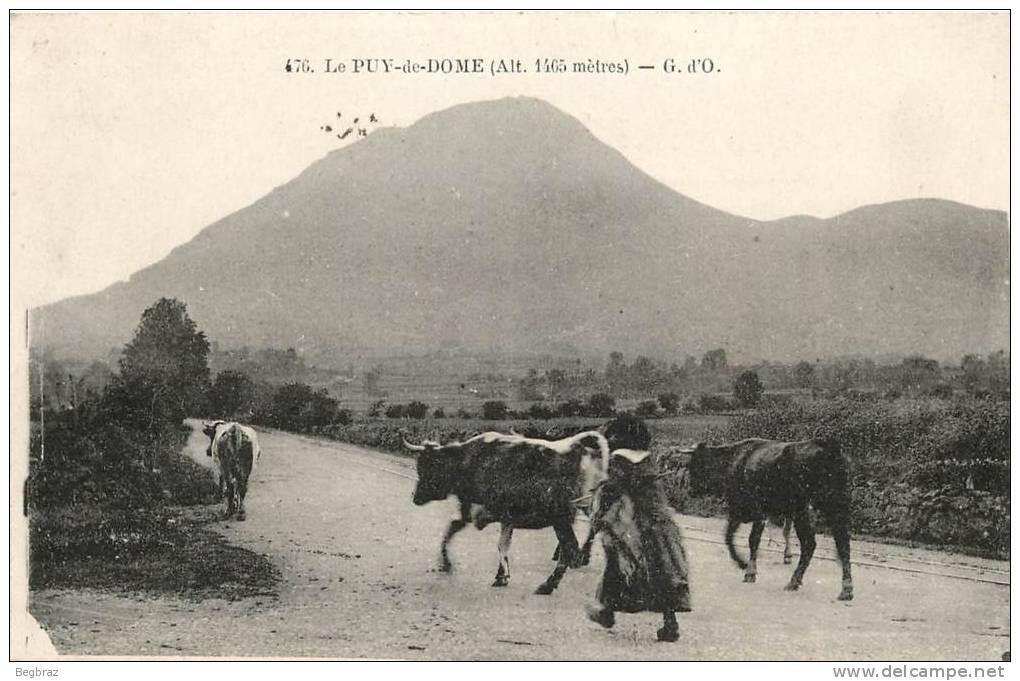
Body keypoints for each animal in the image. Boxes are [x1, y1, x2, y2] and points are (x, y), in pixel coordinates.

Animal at [685, 438, 852, 599]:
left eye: (695, 462)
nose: (690, 489)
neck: (736, 459)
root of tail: (826, 447)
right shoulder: (740, 512)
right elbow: (728, 536)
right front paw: (742, 563)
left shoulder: (755, 511)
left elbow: (752, 540)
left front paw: (749, 570)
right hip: (837, 508)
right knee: (842, 544)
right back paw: (846, 589)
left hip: (803, 512)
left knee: (809, 544)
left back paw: (794, 581)